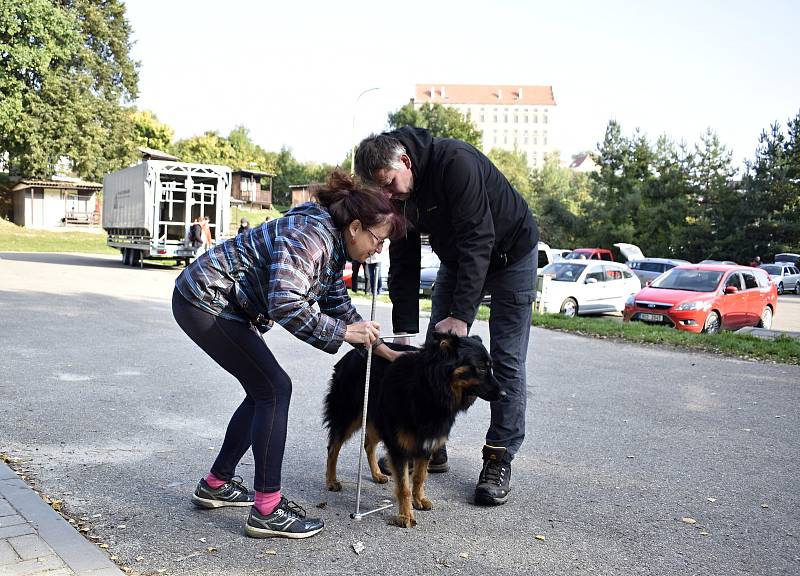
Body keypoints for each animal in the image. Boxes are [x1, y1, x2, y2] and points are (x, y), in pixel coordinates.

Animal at [324, 332, 500, 528]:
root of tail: (349, 356)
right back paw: (331, 481)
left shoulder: (427, 442)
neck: (429, 388)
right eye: (481, 368)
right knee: (333, 448)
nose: (504, 394)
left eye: (491, 367)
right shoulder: (399, 446)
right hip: (349, 415)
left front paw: (419, 500)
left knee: (368, 445)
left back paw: (377, 474)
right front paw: (405, 515)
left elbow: (419, 477)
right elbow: (404, 487)